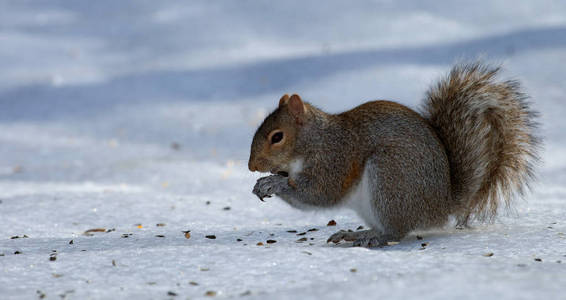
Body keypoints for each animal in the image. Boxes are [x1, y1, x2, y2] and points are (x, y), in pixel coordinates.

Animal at [247, 62, 540, 247]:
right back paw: (356, 234)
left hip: (389, 178)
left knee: (395, 231)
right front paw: (264, 182)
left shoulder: (336, 158)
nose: (251, 166)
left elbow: (320, 193)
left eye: (277, 137)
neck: (315, 140)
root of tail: (442, 205)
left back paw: (371, 238)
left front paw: (274, 182)